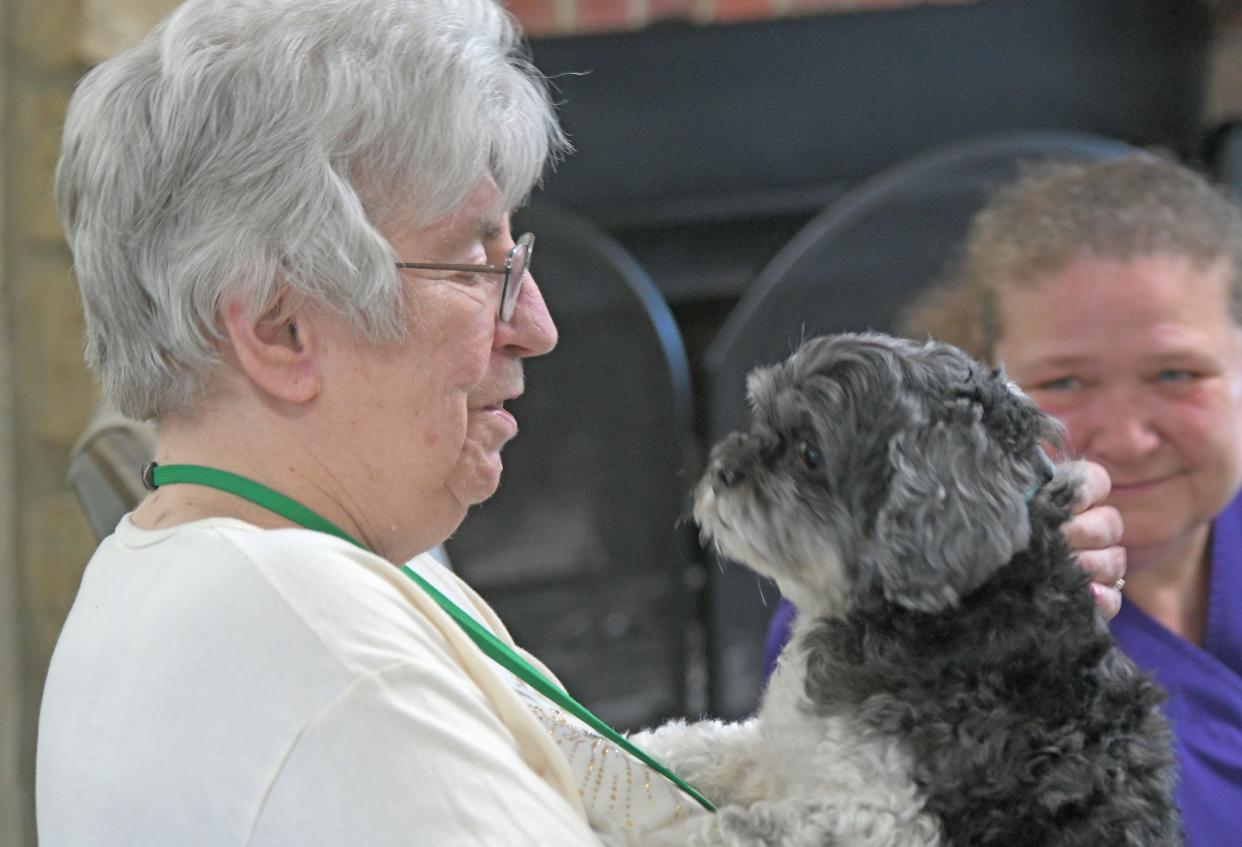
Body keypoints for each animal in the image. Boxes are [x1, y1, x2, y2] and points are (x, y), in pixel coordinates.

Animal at [635, 332, 1177, 839]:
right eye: (762, 417)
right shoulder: (784, 757)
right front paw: (646, 744)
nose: (721, 471)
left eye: (810, 454)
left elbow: (725, 827)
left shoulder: (883, 815)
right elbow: (709, 741)